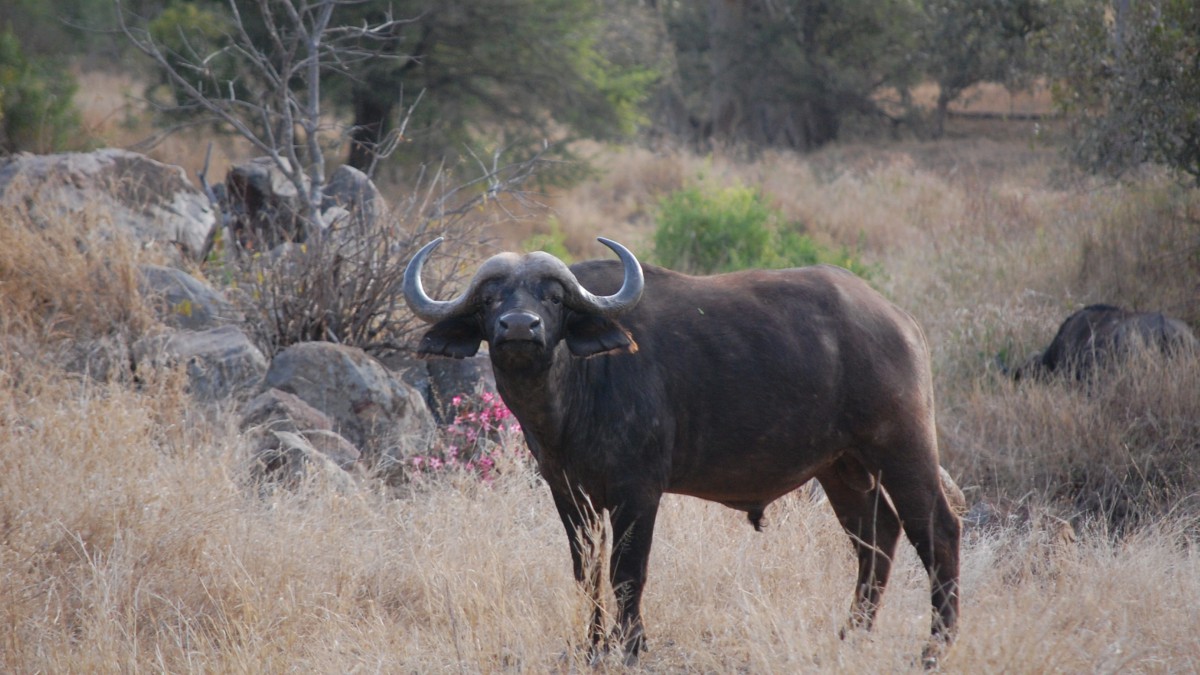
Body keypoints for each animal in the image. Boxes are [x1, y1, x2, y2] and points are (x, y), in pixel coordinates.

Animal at [408, 236, 960, 662]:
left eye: (554, 298)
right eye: (489, 300)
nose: (520, 327)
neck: (571, 400)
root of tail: (897, 320)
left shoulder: (638, 492)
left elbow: (627, 572)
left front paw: (630, 647)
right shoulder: (568, 494)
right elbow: (587, 571)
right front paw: (592, 646)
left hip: (902, 447)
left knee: (937, 531)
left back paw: (935, 648)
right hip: (842, 468)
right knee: (876, 536)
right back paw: (851, 636)